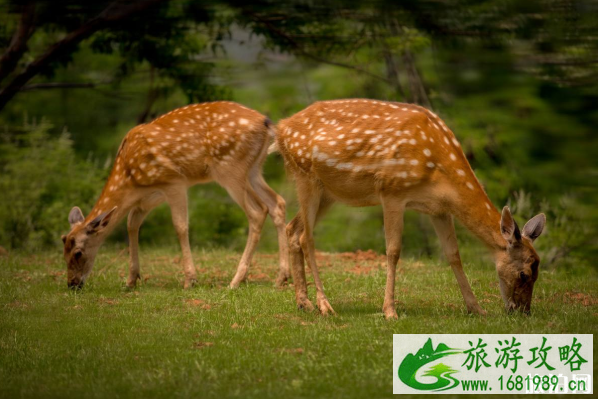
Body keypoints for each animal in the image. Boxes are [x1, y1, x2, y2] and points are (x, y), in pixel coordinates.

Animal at [62, 101, 292, 290]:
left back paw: (236, 281)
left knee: (257, 211)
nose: (72, 284)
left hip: (229, 168)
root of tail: (266, 123)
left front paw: (190, 280)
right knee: (277, 203)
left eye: (78, 252)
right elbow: (132, 224)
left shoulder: (173, 181)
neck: (130, 178)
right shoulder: (150, 197)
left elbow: (180, 226)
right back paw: (281, 277)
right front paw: (131, 280)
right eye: (63, 248)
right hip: (254, 169)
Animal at [276, 99, 548, 318]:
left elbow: (453, 254)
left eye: (538, 271)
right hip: (306, 176)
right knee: (307, 237)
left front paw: (476, 308)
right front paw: (389, 311)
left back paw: (304, 303)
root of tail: (281, 127)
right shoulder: (392, 191)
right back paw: (324, 305)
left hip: (329, 193)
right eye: (524, 273)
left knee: (293, 229)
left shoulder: (439, 209)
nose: (523, 311)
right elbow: (393, 251)